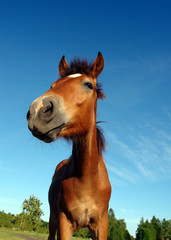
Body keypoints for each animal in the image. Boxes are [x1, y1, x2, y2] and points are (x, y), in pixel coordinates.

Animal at [27, 51, 111, 239]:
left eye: (88, 85)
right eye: (53, 85)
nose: (38, 109)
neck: (87, 178)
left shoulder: (101, 225)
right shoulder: (64, 221)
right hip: (53, 218)